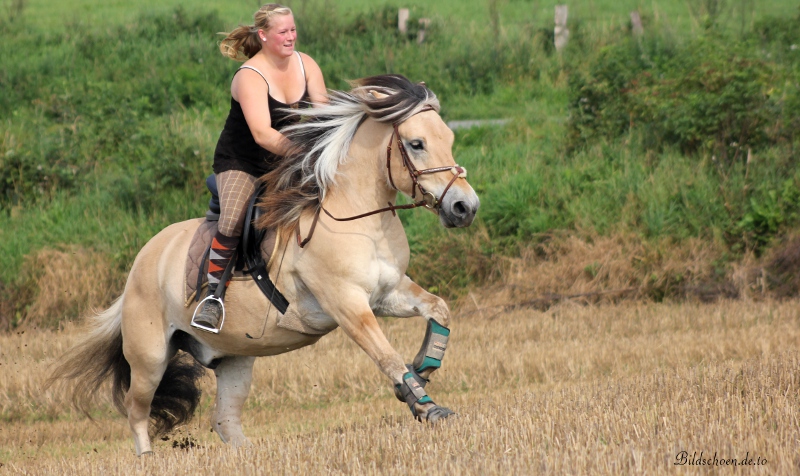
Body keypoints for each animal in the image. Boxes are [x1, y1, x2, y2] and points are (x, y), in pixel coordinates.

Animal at [53, 75, 484, 458]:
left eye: (448, 139)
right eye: (416, 144)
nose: (465, 207)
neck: (356, 215)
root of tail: (139, 266)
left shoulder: (388, 293)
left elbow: (439, 309)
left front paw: (423, 367)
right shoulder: (347, 304)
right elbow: (386, 357)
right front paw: (427, 406)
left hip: (234, 359)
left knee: (224, 419)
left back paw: (248, 454)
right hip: (150, 357)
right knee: (136, 408)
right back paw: (147, 459)